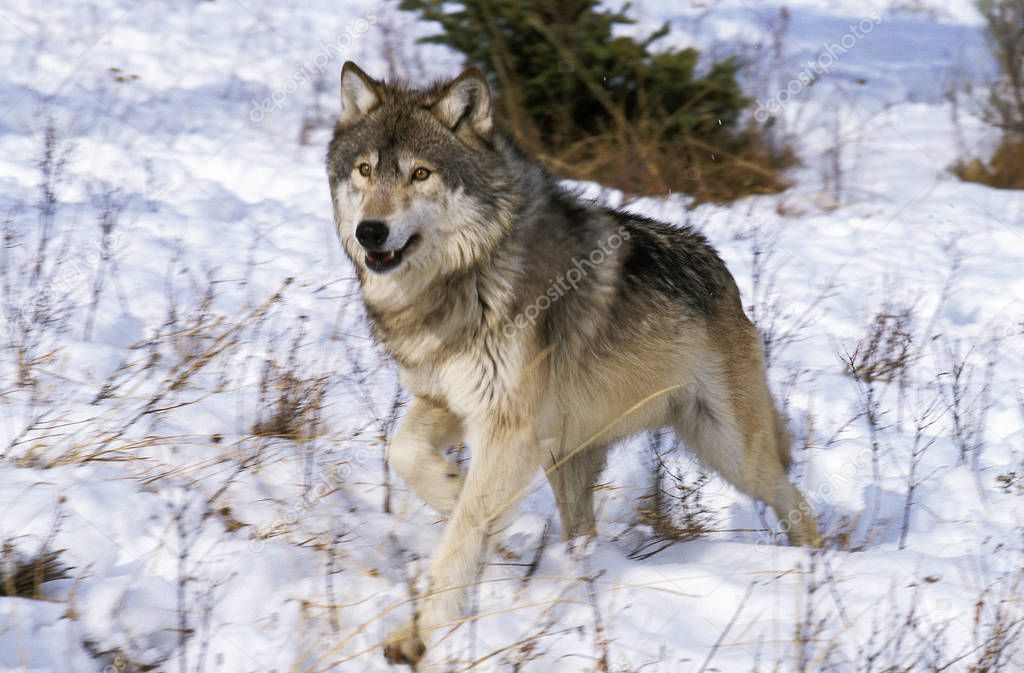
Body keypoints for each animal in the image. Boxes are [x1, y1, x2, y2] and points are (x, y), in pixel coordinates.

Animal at [323, 60, 819, 663]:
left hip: (728, 451)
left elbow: (466, 528)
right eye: (365, 170)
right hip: (570, 458)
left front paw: (425, 632)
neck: (469, 275)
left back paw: (813, 567)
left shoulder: (508, 425)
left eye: (421, 174)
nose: (370, 231)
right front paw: (451, 487)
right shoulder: (447, 398)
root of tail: (723, 273)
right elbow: (405, 453)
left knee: (796, 499)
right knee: (584, 533)